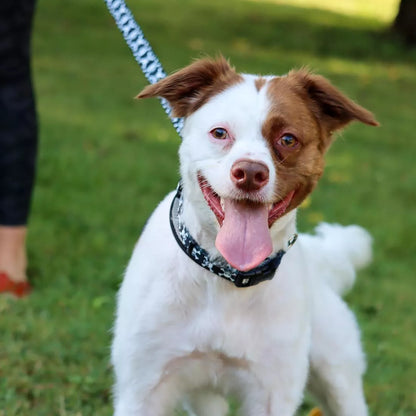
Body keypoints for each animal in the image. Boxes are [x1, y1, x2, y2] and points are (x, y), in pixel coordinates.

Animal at [112, 57, 378, 416]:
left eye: (288, 139)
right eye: (220, 133)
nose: (250, 173)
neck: (226, 275)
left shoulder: (273, 393)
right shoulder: (142, 387)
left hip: (338, 376)